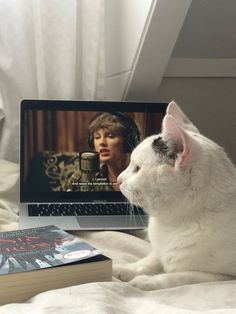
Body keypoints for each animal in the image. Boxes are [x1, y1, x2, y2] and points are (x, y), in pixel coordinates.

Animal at [113, 100, 236, 290]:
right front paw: (124, 269)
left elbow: (177, 277)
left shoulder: (222, 277)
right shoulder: (158, 251)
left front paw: (145, 281)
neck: (170, 225)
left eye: (138, 168)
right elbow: (150, 260)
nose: (118, 179)